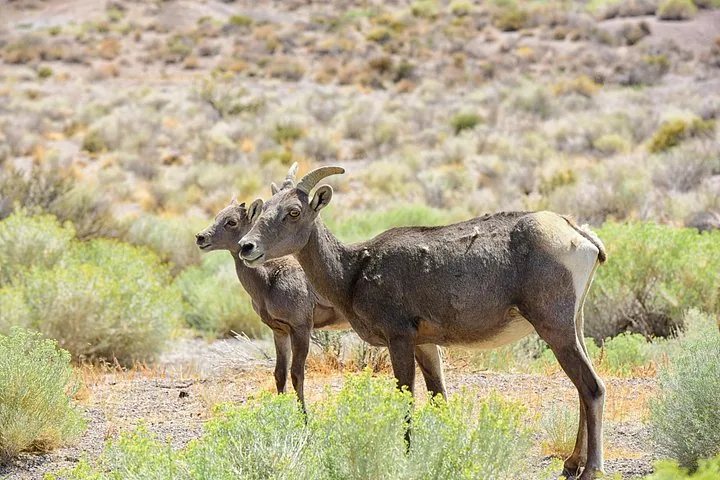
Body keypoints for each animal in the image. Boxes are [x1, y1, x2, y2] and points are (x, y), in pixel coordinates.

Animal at [237, 164, 608, 480]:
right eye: (264, 208)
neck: (352, 272)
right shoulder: (426, 345)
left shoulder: (399, 340)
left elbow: (406, 397)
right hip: (573, 327)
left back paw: (590, 470)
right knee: (582, 389)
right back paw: (570, 465)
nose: (247, 246)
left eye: (294, 212)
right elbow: (438, 398)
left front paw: (407, 455)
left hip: (554, 328)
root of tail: (580, 236)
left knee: (591, 388)